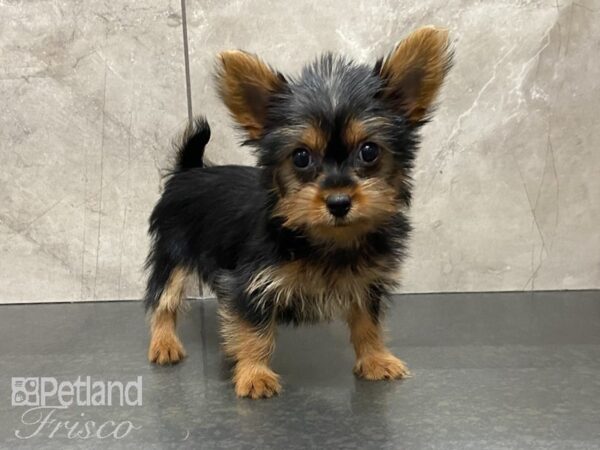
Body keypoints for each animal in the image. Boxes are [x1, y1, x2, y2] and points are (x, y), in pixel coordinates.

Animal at [145, 25, 452, 398]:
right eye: (301, 157)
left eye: (369, 151)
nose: (338, 202)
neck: (326, 238)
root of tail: (188, 171)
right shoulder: (250, 281)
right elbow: (255, 329)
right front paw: (254, 373)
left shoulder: (366, 282)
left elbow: (368, 322)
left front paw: (376, 359)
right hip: (173, 253)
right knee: (164, 300)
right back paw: (164, 343)